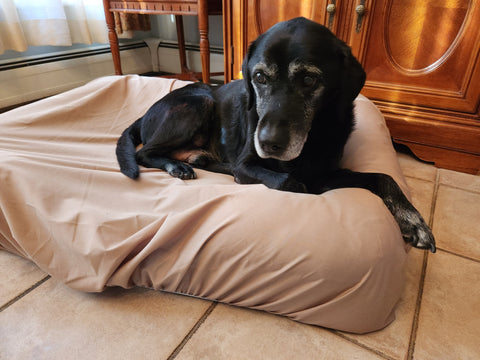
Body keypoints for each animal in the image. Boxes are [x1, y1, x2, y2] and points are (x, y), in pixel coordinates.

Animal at [116, 17, 436, 253]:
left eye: (309, 79)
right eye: (259, 77)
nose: (268, 143)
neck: (311, 137)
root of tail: (145, 113)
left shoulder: (326, 172)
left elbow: (382, 177)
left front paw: (413, 220)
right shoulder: (247, 166)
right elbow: (290, 182)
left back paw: (195, 160)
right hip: (200, 101)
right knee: (145, 152)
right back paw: (177, 166)